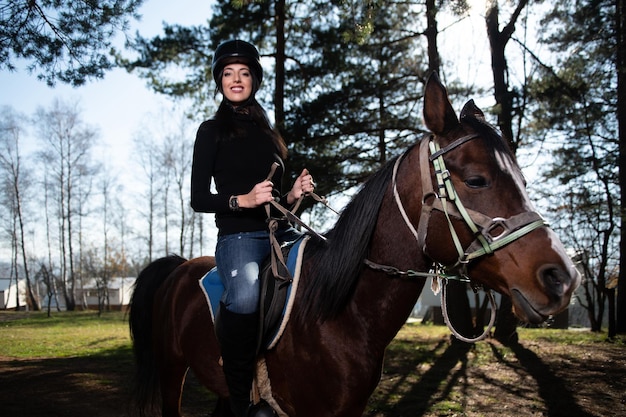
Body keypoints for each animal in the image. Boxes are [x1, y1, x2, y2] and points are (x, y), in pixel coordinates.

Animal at [128, 75, 580, 416]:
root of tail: (177, 267)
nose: (562, 278)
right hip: (172, 371)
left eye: (523, 180)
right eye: (475, 179)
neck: (336, 313)